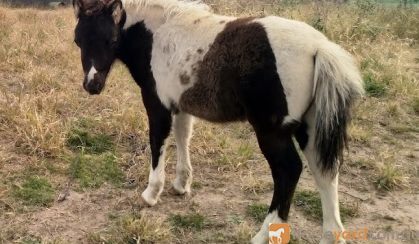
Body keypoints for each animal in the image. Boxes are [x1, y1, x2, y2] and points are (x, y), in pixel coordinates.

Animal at [72, 0, 364, 242]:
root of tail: (319, 47)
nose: (92, 85)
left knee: (289, 171)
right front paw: (181, 185)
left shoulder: (157, 102)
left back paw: (263, 235)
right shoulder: (180, 104)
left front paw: (151, 194)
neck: (156, 33)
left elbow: (158, 142)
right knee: (325, 172)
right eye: (78, 40)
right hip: (310, 126)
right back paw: (330, 234)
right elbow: (183, 137)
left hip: (271, 130)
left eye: (111, 39)